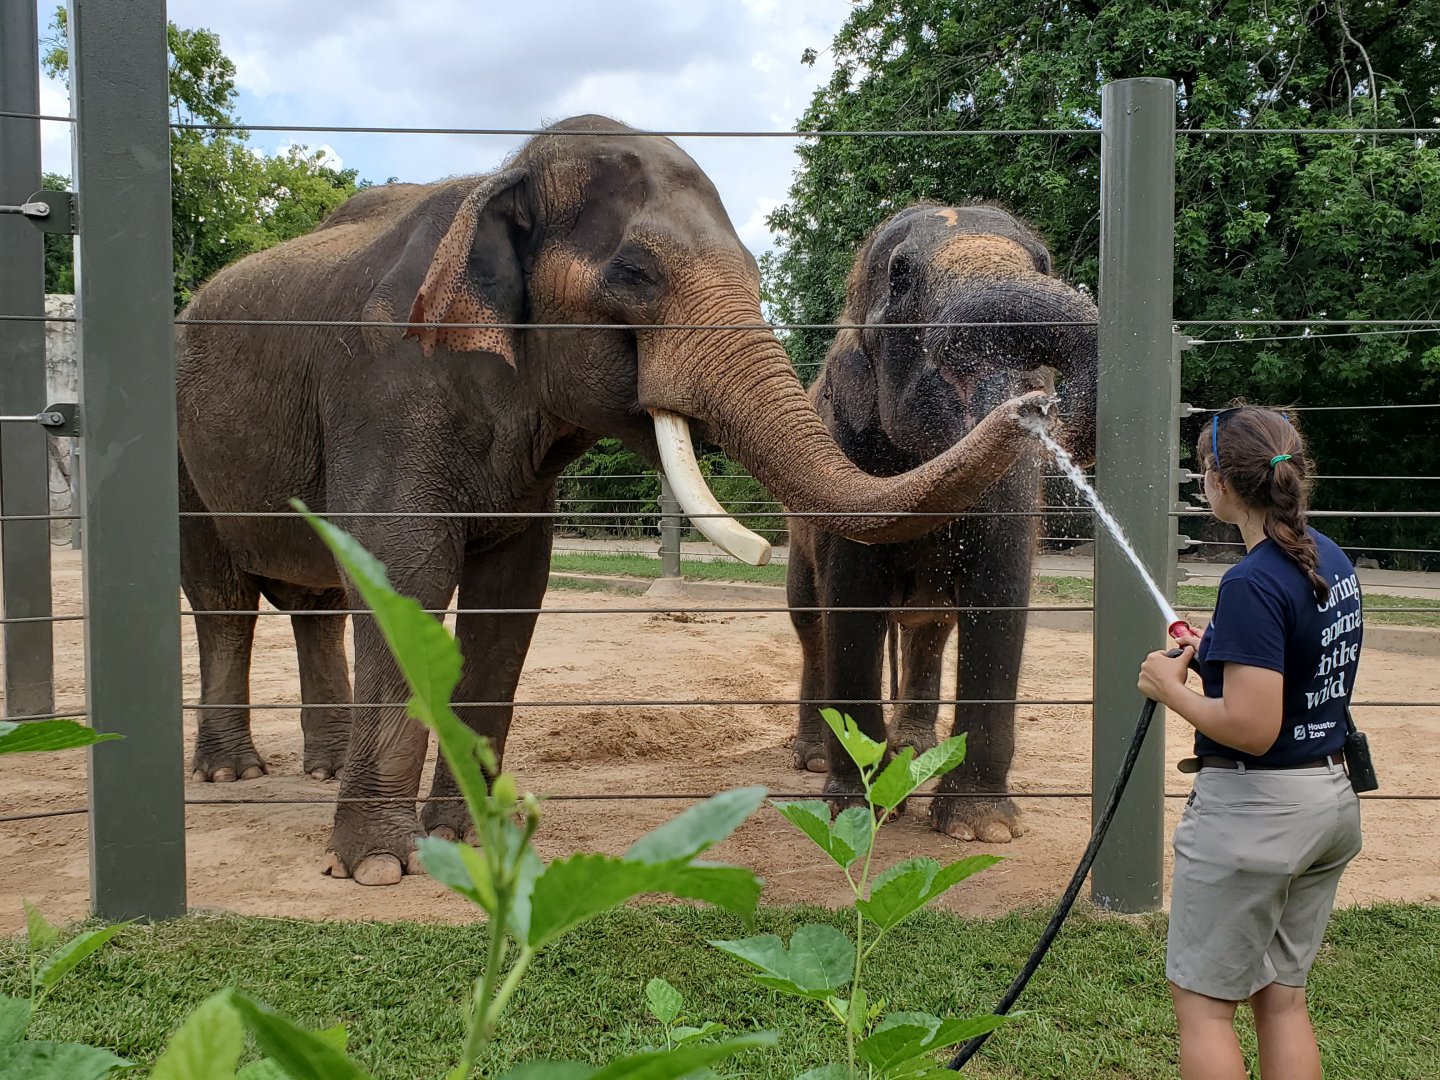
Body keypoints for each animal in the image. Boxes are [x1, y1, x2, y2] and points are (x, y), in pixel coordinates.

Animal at [177, 117, 1058, 885]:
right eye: (635, 275)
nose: (1035, 400)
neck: (500, 177)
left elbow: (511, 594)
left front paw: (469, 841)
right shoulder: (388, 387)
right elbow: (404, 576)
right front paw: (380, 868)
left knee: (315, 603)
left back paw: (320, 767)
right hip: (183, 454)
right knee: (223, 600)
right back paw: (230, 773)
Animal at [785, 203, 1098, 844]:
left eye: (1043, 263)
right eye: (900, 277)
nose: (1036, 406)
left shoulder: (1015, 495)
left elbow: (1000, 595)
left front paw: (983, 830)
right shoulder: (848, 453)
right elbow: (849, 599)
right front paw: (858, 809)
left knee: (930, 627)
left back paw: (914, 749)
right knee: (810, 621)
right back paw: (816, 757)